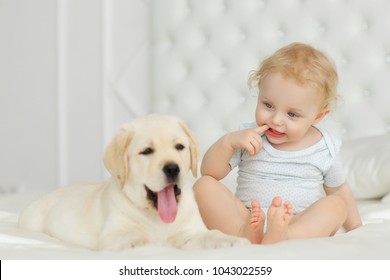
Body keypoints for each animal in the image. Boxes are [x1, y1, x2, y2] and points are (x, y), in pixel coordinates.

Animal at [19, 115, 247, 250]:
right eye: (146, 151)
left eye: (179, 147)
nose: (173, 169)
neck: (158, 218)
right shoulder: (113, 236)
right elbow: (142, 241)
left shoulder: (190, 231)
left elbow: (210, 236)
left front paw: (231, 240)